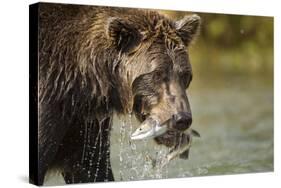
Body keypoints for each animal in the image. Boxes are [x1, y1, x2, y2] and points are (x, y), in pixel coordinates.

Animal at [29, 2, 200, 186]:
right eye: (157, 74)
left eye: (185, 75)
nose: (181, 118)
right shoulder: (50, 97)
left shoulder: (85, 123)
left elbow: (90, 168)